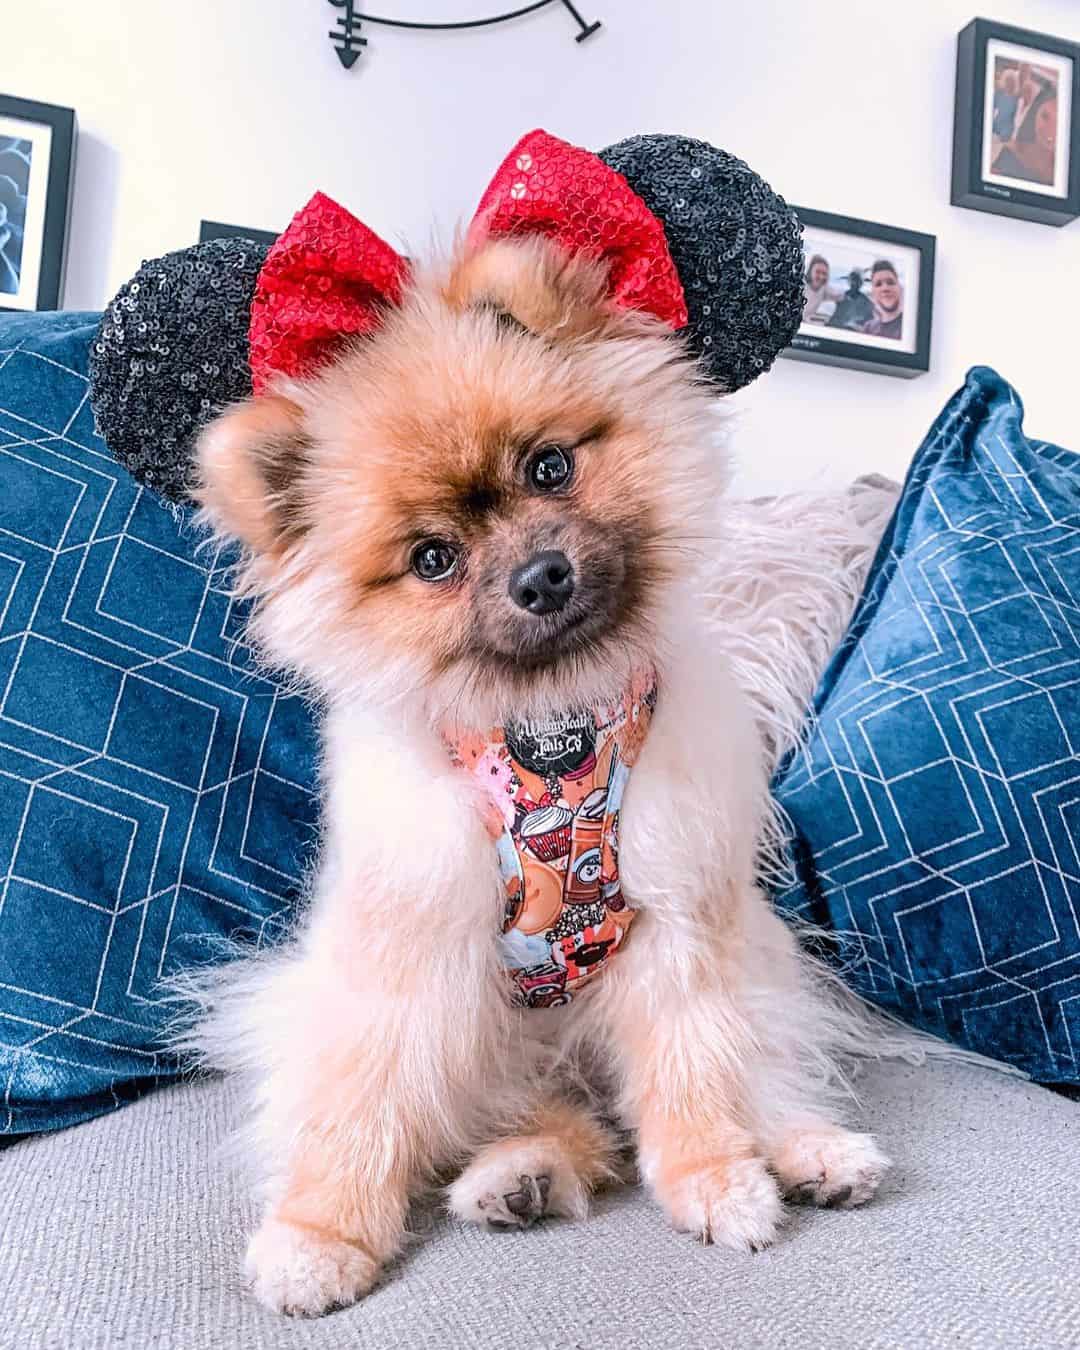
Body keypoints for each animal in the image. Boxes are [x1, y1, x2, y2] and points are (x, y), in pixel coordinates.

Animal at [190, 234, 891, 1317]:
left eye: (551, 466)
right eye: (433, 558)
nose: (540, 576)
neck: (550, 729)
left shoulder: (680, 923)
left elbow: (696, 1069)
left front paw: (716, 1179)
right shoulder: (403, 951)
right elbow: (357, 1107)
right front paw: (320, 1236)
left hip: (761, 964)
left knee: (756, 1076)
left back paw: (811, 1154)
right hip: (476, 1053)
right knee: (524, 1119)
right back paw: (514, 1176)